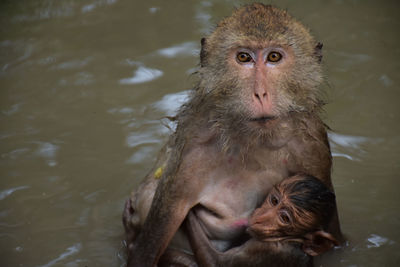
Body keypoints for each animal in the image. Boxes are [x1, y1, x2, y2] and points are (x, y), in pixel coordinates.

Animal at [184, 175, 338, 266]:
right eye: (274, 201)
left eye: (284, 218)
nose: (261, 217)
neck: (291, 240)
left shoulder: (265, 249)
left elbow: (214, 262)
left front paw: (191, 212)